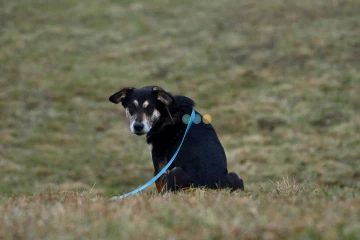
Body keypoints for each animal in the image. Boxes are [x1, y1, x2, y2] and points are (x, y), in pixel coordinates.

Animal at [109, 85, 245, 192]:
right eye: (131, 107)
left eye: (150, 108)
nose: (138, 126)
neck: (166, 112)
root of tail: (210, 186)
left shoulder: (160, 163)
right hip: (236, 177)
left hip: (175, 172)